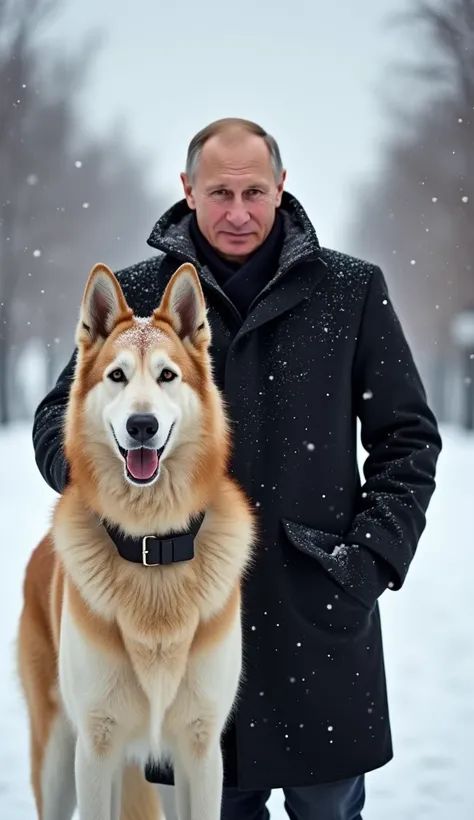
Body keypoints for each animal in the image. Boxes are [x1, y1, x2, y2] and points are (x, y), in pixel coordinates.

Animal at [17, 262, 256, 820]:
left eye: (167, 375)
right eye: (117, 376)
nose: (141, 425)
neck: (152, 546)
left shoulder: (200, 749)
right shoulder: (96, 747)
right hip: (56, 760)